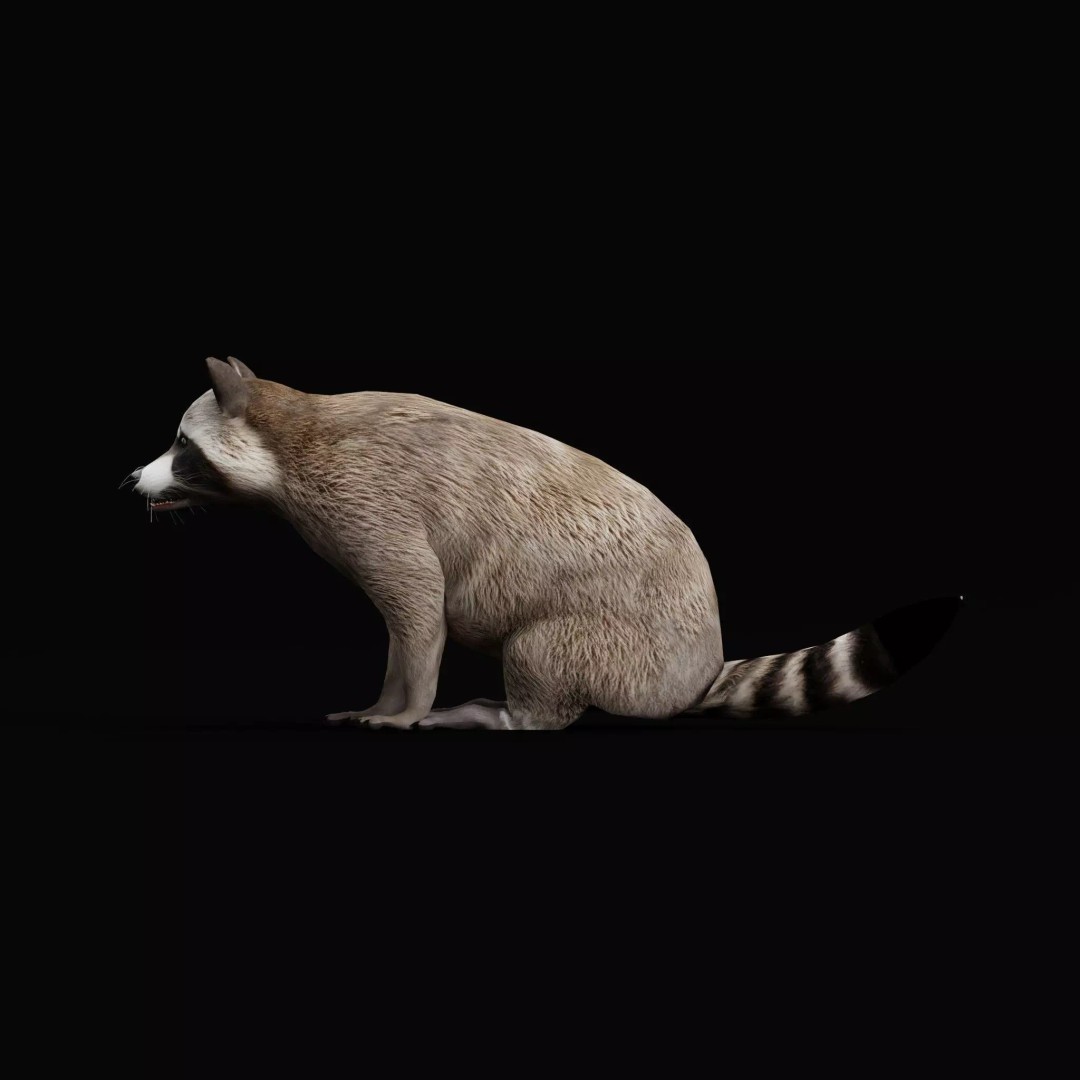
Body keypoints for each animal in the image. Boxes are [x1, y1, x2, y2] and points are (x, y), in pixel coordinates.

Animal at [128, 357, 958, 729]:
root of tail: (693, 669)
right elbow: (407, 622)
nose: (132, 478)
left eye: (181, 446)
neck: (294, 425)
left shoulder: (375, 504)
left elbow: (418, 613)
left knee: (542, 653)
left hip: (612, 643)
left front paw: (402, 707)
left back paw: (511, 714)